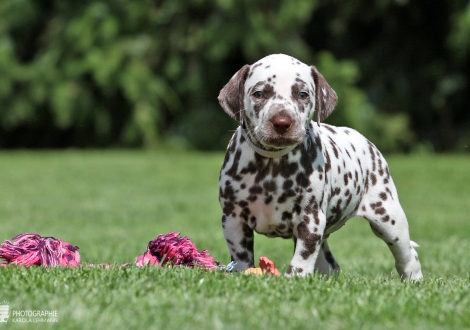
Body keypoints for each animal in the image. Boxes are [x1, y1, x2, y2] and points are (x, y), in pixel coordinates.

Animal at [218, 52, 424, 280]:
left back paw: (413, 279)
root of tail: (366, 142)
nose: (282, 122)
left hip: (388, 217)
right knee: (329, 263)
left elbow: (302, 257)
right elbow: (241, 257)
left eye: (302, 94)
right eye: (259, 93)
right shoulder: (233, 219)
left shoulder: (311, 219)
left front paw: (294, 279)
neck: (271, 166)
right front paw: (243, 273)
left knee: (407, 253)